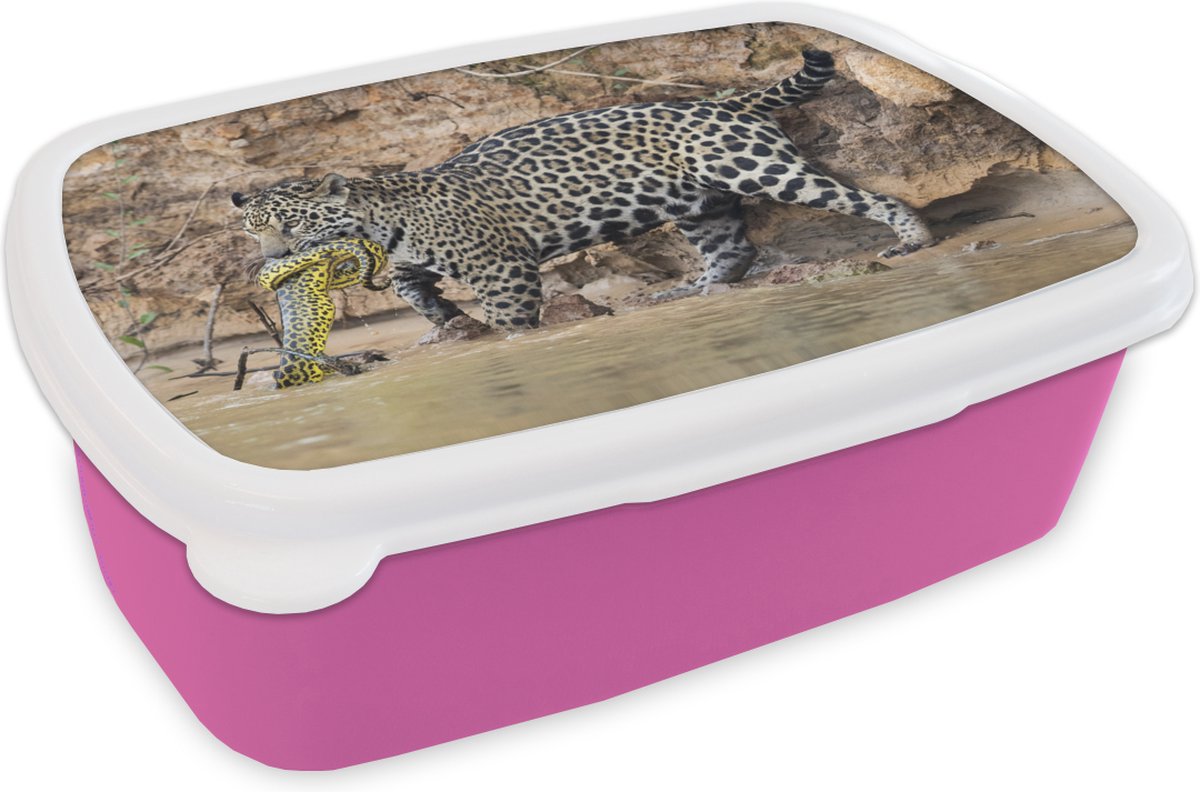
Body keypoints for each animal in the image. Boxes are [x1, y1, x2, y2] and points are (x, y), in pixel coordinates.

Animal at [232, 48, 933, 331]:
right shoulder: (412, 260)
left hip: (758, 169)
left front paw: (502, 336)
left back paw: (912, 237)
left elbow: (512, 318)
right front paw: (443, 323)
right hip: (700, 205)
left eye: (295, 227)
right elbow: (413, 289)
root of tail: (724, 101)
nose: (273, 263)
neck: (378, 225)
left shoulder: (499, 266)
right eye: (254, 232)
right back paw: (691, 289)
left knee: (861, 199)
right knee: (732, 250)